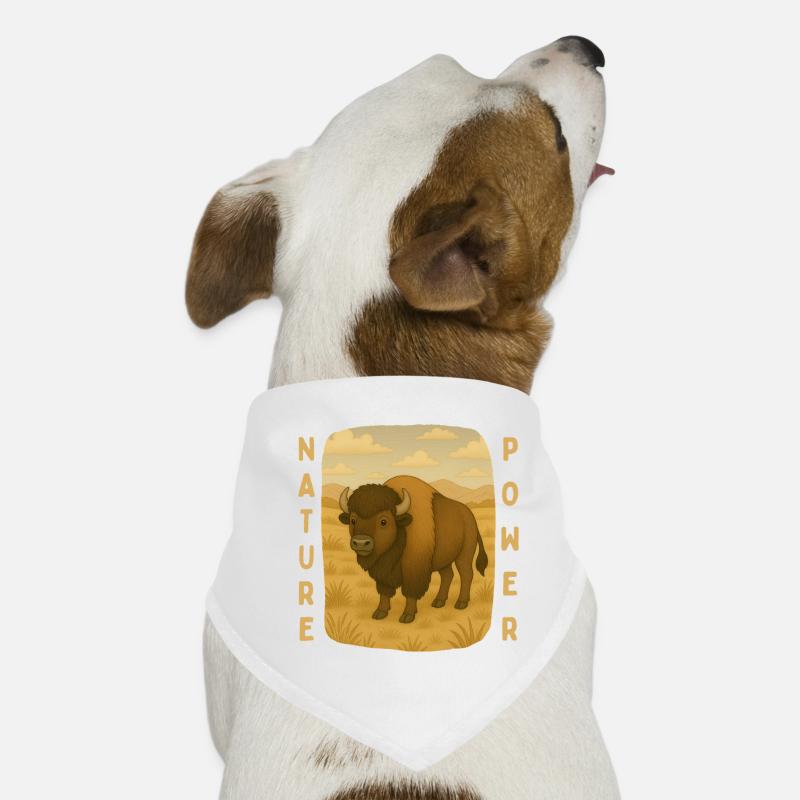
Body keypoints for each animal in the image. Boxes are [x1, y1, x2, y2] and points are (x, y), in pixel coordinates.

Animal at [338, 475, 488, 623]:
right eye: (353, 520)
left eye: (383, 521)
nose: (361, 542)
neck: (402, 530)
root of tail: (470, 517)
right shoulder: (382, 573)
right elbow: (384, 592)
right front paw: (380, 612)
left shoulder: (414, 569)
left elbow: (411, 592)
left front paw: (407, 616)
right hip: (444, 560)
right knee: (447, 576)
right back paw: (438, 602)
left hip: (464, 555)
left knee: (466, 575)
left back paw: (461, 603)